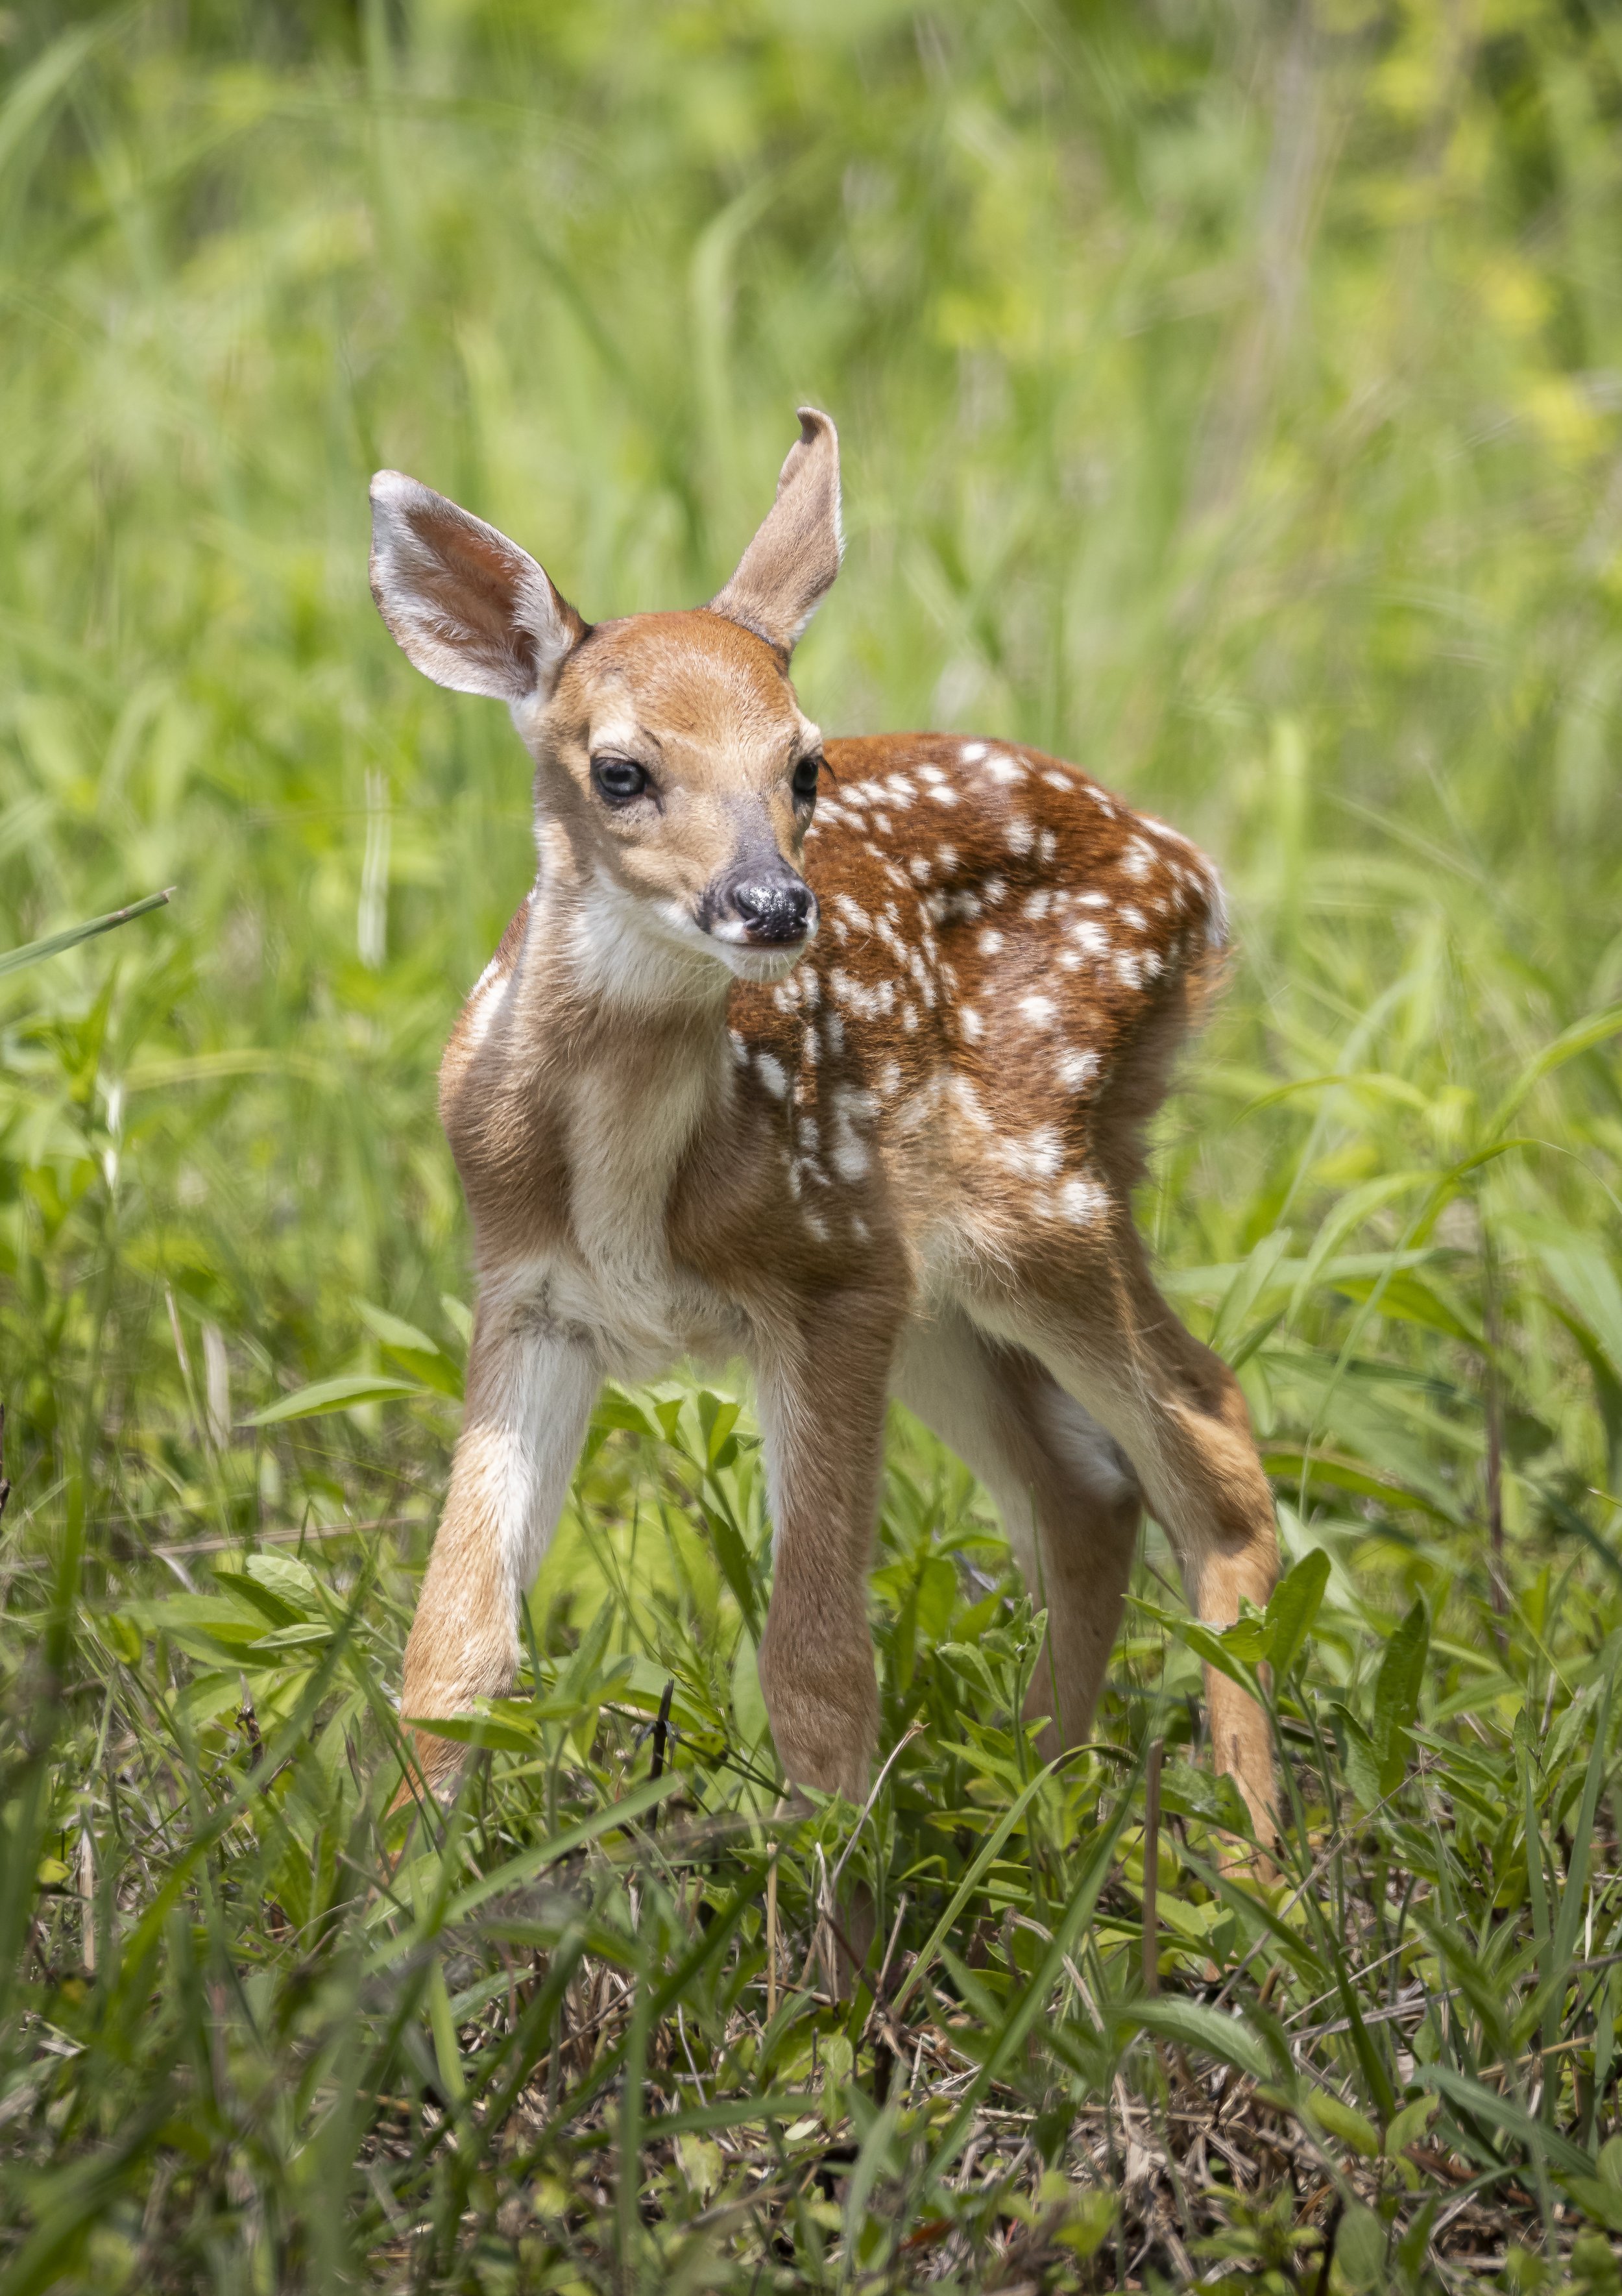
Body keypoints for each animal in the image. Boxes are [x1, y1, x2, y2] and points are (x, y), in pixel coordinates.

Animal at [367, 409, 1280, 1857]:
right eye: (620, 769)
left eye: (803, 762)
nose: (770, 903)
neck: (633, 1184)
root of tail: (1194, 873)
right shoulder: (526, 1291)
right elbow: (451, 1649)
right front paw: (392, 1906)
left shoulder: (831, 1273)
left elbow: (813, 1662)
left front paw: (831, 1921)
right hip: (946, 1288)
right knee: (1091, 1493)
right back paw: (1032, 1810)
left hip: (1034, 1196)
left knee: (1215, 1449)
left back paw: (1251, 1863)